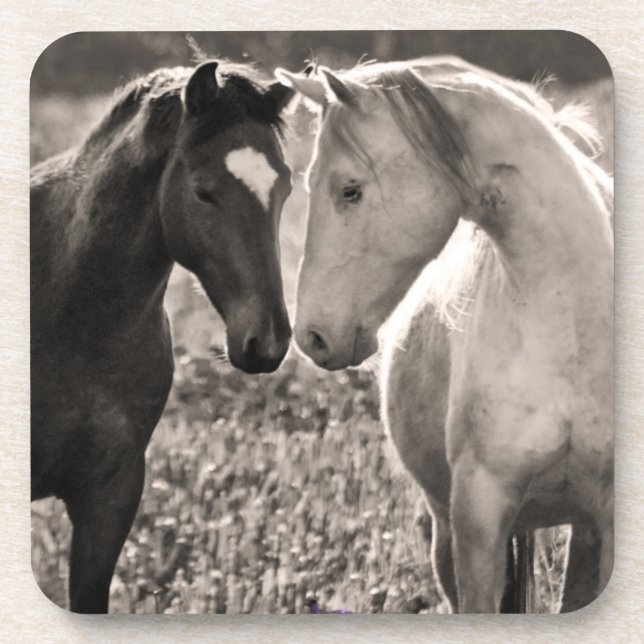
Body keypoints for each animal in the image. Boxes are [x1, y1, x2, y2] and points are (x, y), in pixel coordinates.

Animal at [276, 57, 613, 613]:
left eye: (350, 190)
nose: (312, 337)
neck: (572, 327)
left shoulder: (604, 519)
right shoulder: (478, 516)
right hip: (445, 534)